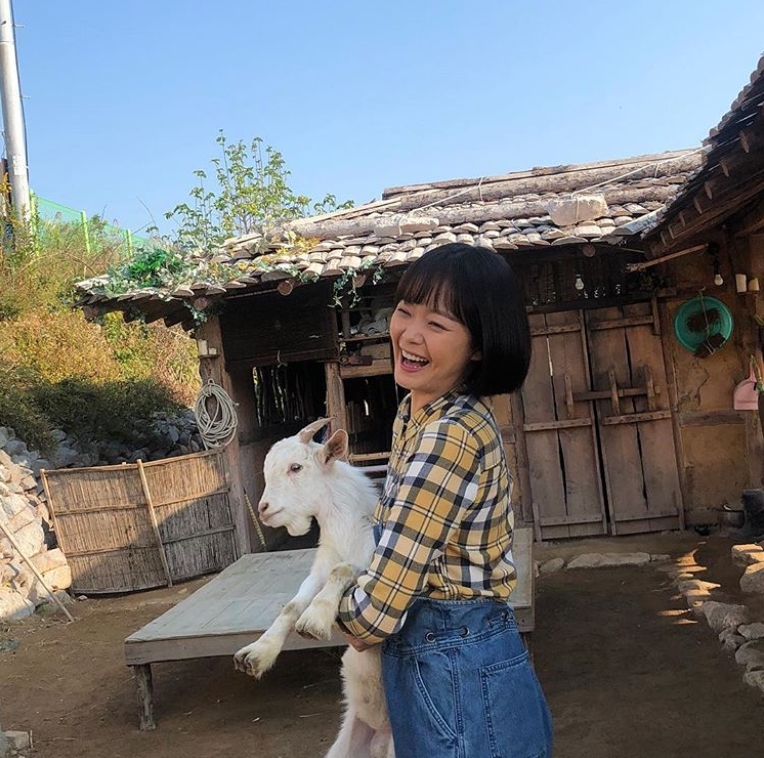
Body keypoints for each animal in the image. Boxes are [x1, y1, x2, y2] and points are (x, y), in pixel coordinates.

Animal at [233, 418, 394, 758]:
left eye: (296, 467)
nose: (264, 508)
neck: (348, 531)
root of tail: (380, 738)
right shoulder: (318, 570)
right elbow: (293, 604)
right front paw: (257, 654)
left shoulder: (376, 570)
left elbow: (342, 569)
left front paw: (314, 621)